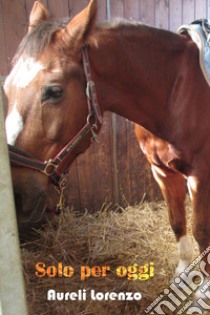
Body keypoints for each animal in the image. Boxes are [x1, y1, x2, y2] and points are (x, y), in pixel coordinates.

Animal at [3, 0, 210, 276]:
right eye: (6, 88)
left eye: (54, 91)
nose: (14, 196)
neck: (176, 91)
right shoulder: (162, 172)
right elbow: (177, 222)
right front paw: (183, 274)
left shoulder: (201, 176)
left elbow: (201, 233)